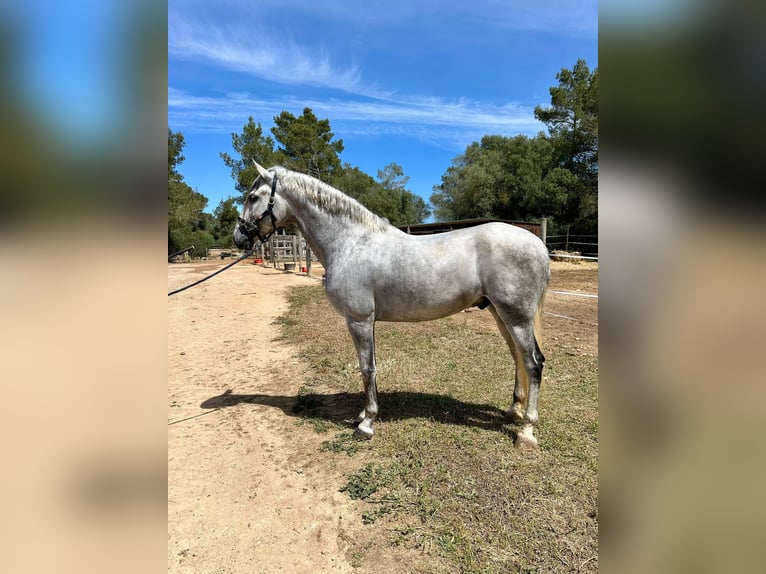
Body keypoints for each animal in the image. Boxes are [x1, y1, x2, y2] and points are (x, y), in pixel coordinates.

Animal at [234, 164, 552, 448]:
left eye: (253, 197)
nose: (239, 238)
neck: (350, 242)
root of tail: (538, 244)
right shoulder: (366, 321)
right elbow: (370, 369)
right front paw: (364, 413)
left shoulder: (359, 320)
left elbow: (366, 368)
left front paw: (366, 423)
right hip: (502, 315)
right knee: (518, 358)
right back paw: (514, 411)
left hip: (517, 318)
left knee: (533, 364)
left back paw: (527, 431)